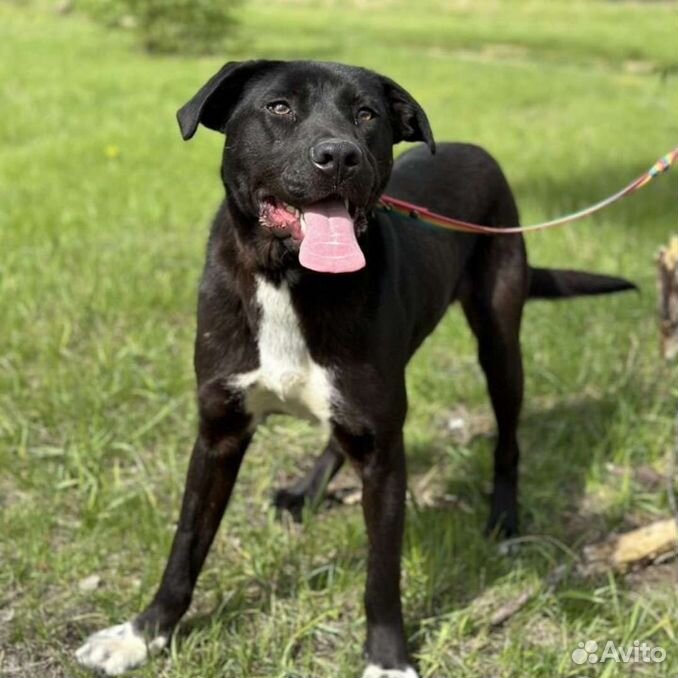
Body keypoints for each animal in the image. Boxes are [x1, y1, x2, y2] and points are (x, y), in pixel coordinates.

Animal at [77, 61, 636, 676]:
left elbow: (381, 572)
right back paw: (307, 491)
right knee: (337, 433)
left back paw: (504, 518)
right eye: (279, 107)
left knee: (506, 436)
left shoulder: (384, 453)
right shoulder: (219, 430)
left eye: (366, 114)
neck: (289, 277)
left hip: (498, 342)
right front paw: (143, 632)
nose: (339, 155)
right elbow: (186, 544)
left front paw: (388, 658)